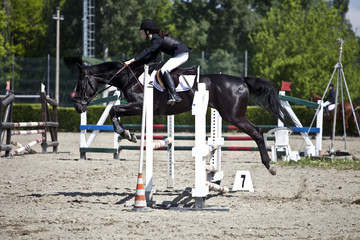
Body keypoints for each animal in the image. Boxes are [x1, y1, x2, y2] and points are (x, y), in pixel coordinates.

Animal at [74, 61, 296, 175]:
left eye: (81, 83)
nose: (77, 106)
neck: (133, 78)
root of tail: (241, 80)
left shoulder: (140, 106)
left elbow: (114, 110)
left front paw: (126, 133)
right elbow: (115, 112)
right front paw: (128, 133)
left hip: (234, 116)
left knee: (257, 132)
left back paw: (269, 165)